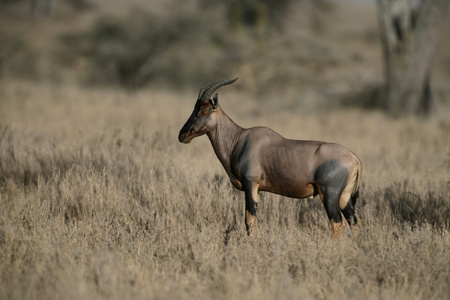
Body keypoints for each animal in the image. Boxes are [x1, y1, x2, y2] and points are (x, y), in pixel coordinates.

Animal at [178, 78, 362, 239]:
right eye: (195, 108)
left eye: (203, 110)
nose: (182, 135)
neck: (239, 139)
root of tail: (355, 159)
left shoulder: (251, 184)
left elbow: (249, 220)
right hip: (345, 198)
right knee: (354, 223)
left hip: (329, 194)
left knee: (337, 223)